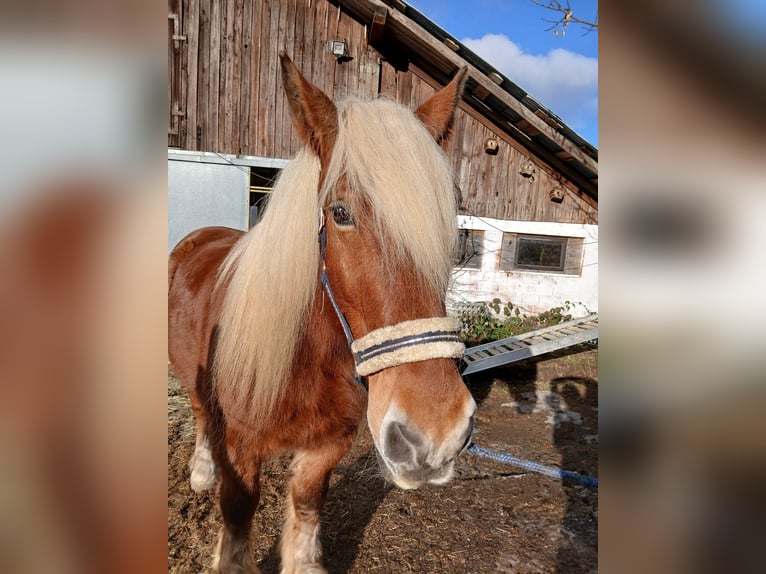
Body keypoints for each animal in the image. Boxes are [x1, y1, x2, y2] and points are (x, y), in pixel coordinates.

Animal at [168, 52, 476, 574]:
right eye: (340, 212)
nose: (435, 434)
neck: (302, 359)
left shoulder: (328, 444)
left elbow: (308, 505)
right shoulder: (240, 449)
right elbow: (238, 512)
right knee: (201, 413)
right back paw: (201, 473)